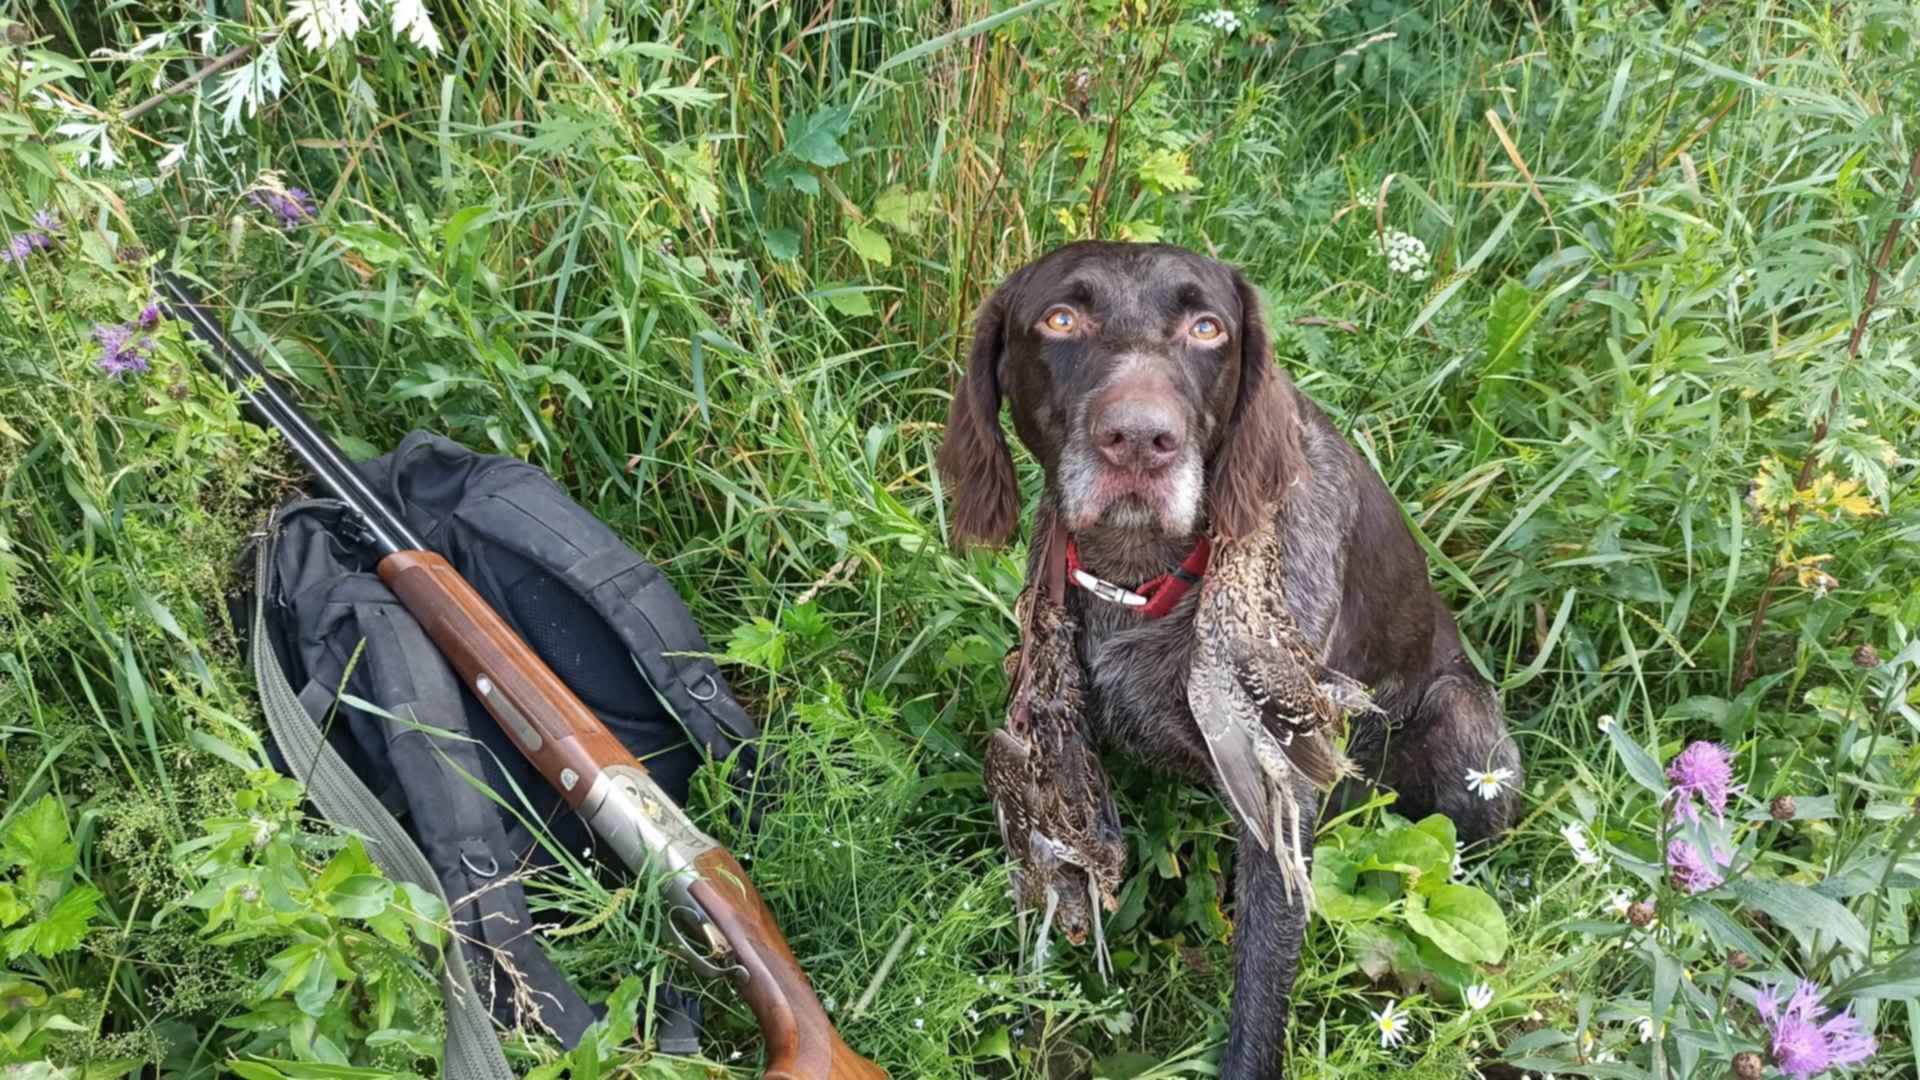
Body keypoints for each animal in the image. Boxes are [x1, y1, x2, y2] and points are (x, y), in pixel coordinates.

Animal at [936, 239, 1520, 1068]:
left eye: (1208, 328)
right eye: (1061, 319)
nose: (1140, 440)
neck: (1141, 575)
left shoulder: (1280, 795)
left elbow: (1260, 991)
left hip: (1467, 739)